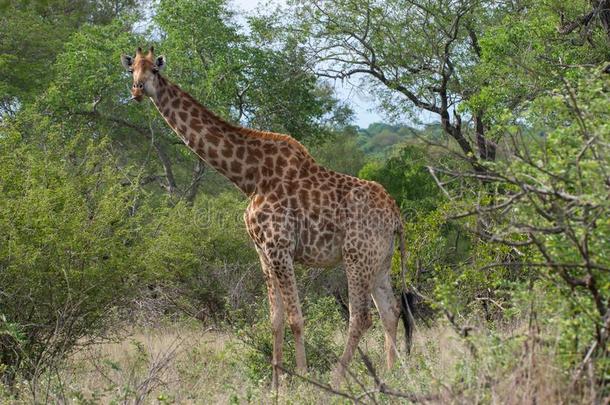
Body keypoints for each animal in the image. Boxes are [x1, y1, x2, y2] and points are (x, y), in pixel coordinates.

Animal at [120, 45, 410, 386]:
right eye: (131, 70)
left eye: (154, 69)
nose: (137, 91)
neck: (249, 177)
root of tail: (396, 216)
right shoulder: (262, 250)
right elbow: (275, 319)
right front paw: (276, 385)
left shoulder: (279, 246)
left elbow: (296, 318)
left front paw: (302, 378)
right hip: (380, 260)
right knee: (391, 311)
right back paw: (394, 375)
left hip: (356, 256)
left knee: (361, 317)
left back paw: (337, 378)